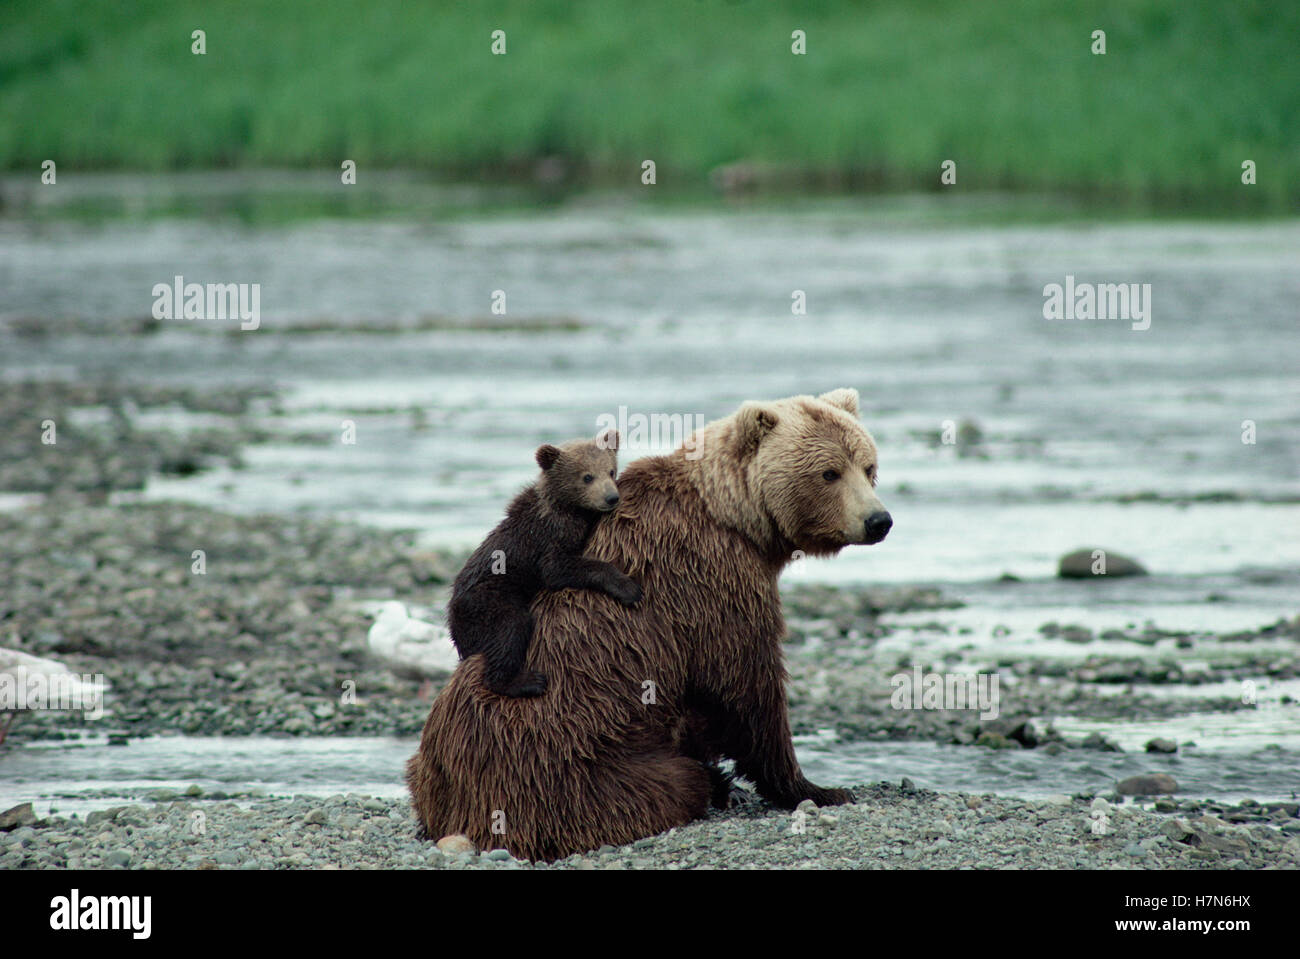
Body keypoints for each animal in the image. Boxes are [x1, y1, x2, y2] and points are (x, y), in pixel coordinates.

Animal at [446, 428, 642, 698]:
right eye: (587, 476)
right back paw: (526, 681)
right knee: (510, 627)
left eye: (611, 471)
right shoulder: (547, 538)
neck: (568, 507)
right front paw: (628, 587)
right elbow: (557, 568)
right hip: (486, 600)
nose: (611, 497)